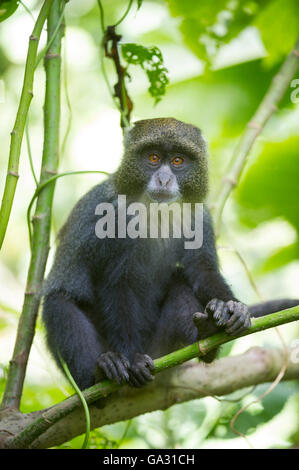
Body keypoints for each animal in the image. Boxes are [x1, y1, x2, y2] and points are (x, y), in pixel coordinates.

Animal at [42, 117, 299, 390]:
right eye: (153, 157)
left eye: (177, 161)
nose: (164, 179)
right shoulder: (111, 218)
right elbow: (117, 285)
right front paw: (131, 358)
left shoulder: (199, 216)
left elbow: (202, 269)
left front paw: (233, 307)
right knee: (59, 304)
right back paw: (100, 372)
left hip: (162, 347)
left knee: (180, 283)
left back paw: (207, 338)